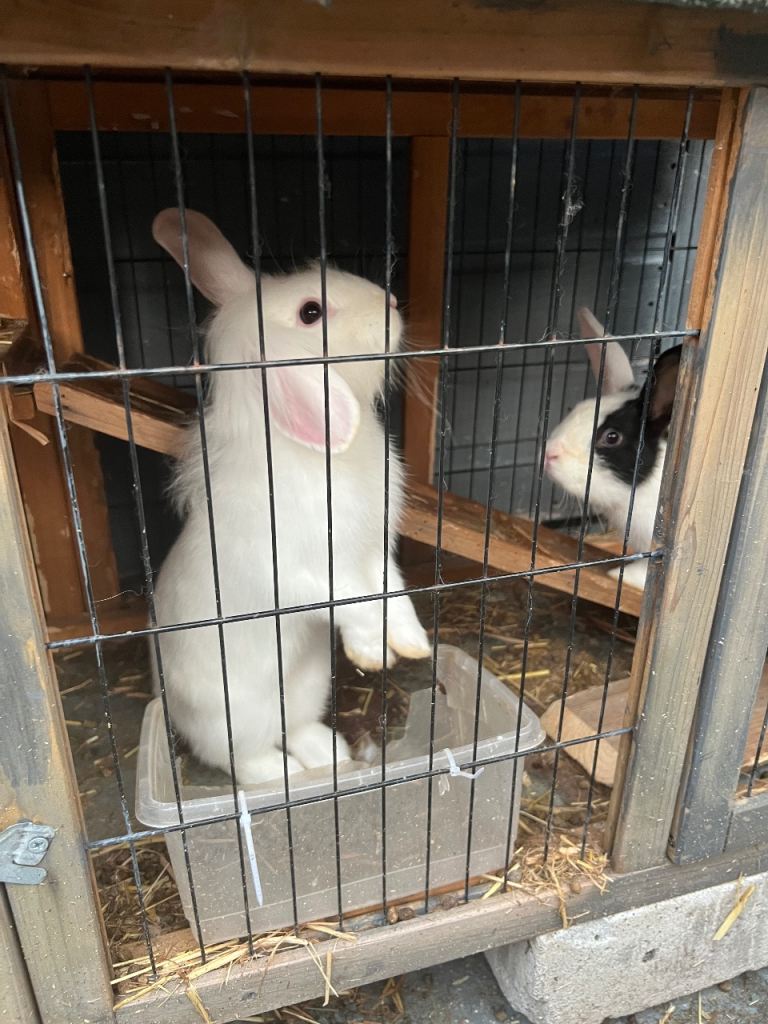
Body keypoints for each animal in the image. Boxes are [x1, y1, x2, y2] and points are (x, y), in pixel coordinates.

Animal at [150, 208, 431, 785]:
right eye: (310, 312)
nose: (392, 302)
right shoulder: (300, 570)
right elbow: (351, 600)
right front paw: (376, 651)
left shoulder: (373, 551)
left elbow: (391, 590)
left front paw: (411, 645)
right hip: (230, 715)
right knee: (241, 756)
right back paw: (283, 776)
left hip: (308, 685)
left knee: (296, 728)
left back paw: (330, 757)